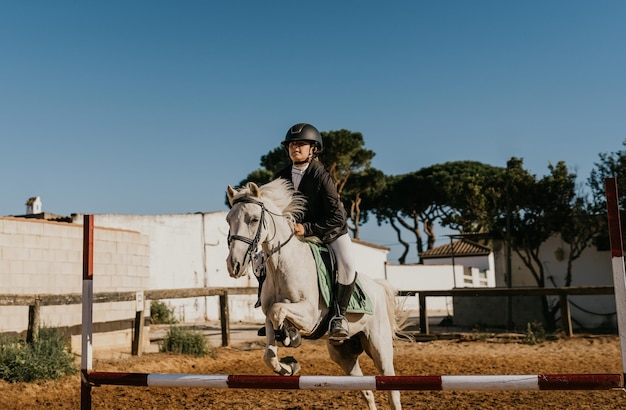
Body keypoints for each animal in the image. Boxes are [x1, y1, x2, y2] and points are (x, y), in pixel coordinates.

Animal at [227, 179, 402, 410]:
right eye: (228, 220)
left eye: (254, 219)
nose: (234, 265)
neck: (282, 265)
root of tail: (378, 288)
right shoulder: (268, 318)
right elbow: (269, 354)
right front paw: (289, 365)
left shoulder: (310, 316)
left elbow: (278, 310)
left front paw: (291, 337)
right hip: (343, 354)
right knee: (367, 390)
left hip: (379, 348)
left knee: (392, 389)